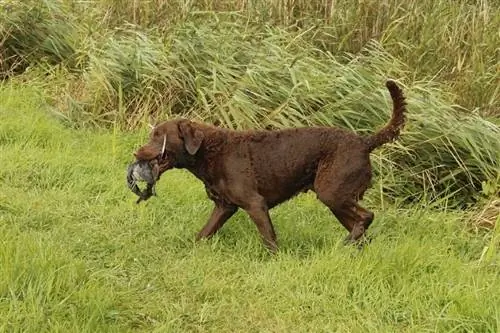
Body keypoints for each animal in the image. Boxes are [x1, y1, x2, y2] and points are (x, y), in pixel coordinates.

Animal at [133, 81, 406, 252]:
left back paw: (346, 243)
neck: (209, 151)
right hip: (338, 200)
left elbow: (270, 239)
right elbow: (204, 233)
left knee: (367, 217)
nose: (136, 152)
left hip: (332, 192)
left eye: (158, 136)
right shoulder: (224, 206)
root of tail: (364, 142)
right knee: (363, 228)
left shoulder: (255, 204)